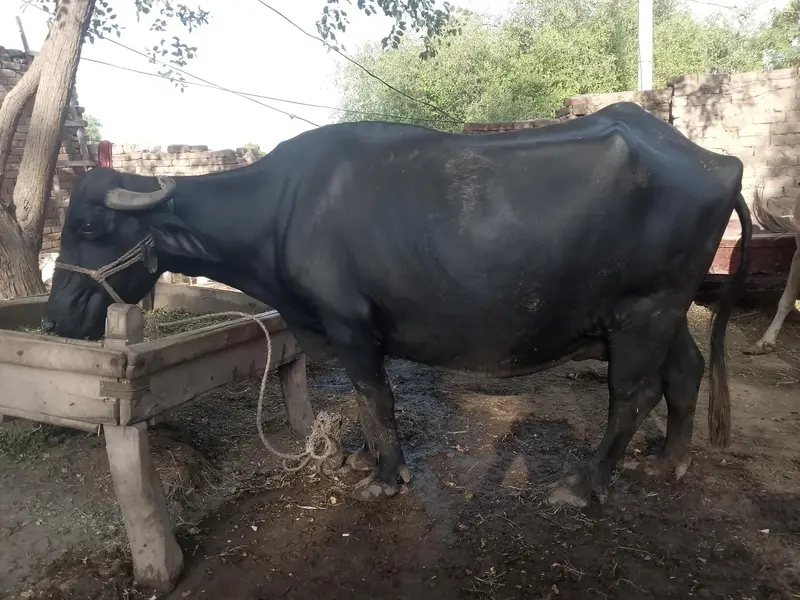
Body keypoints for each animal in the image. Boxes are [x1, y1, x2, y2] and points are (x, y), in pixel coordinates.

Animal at [43, 102, 752, 507]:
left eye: (90, 226)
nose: (54, 318)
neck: (281, 211)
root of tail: (717, 162)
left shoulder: (352, 326)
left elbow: (374, 398)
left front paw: (384, 474)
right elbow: (365, 405)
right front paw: (363, 456)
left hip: (643, 312)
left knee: (631, 395)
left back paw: (583, 485)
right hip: (661, 314)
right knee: (684, 372)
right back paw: (669, 461)